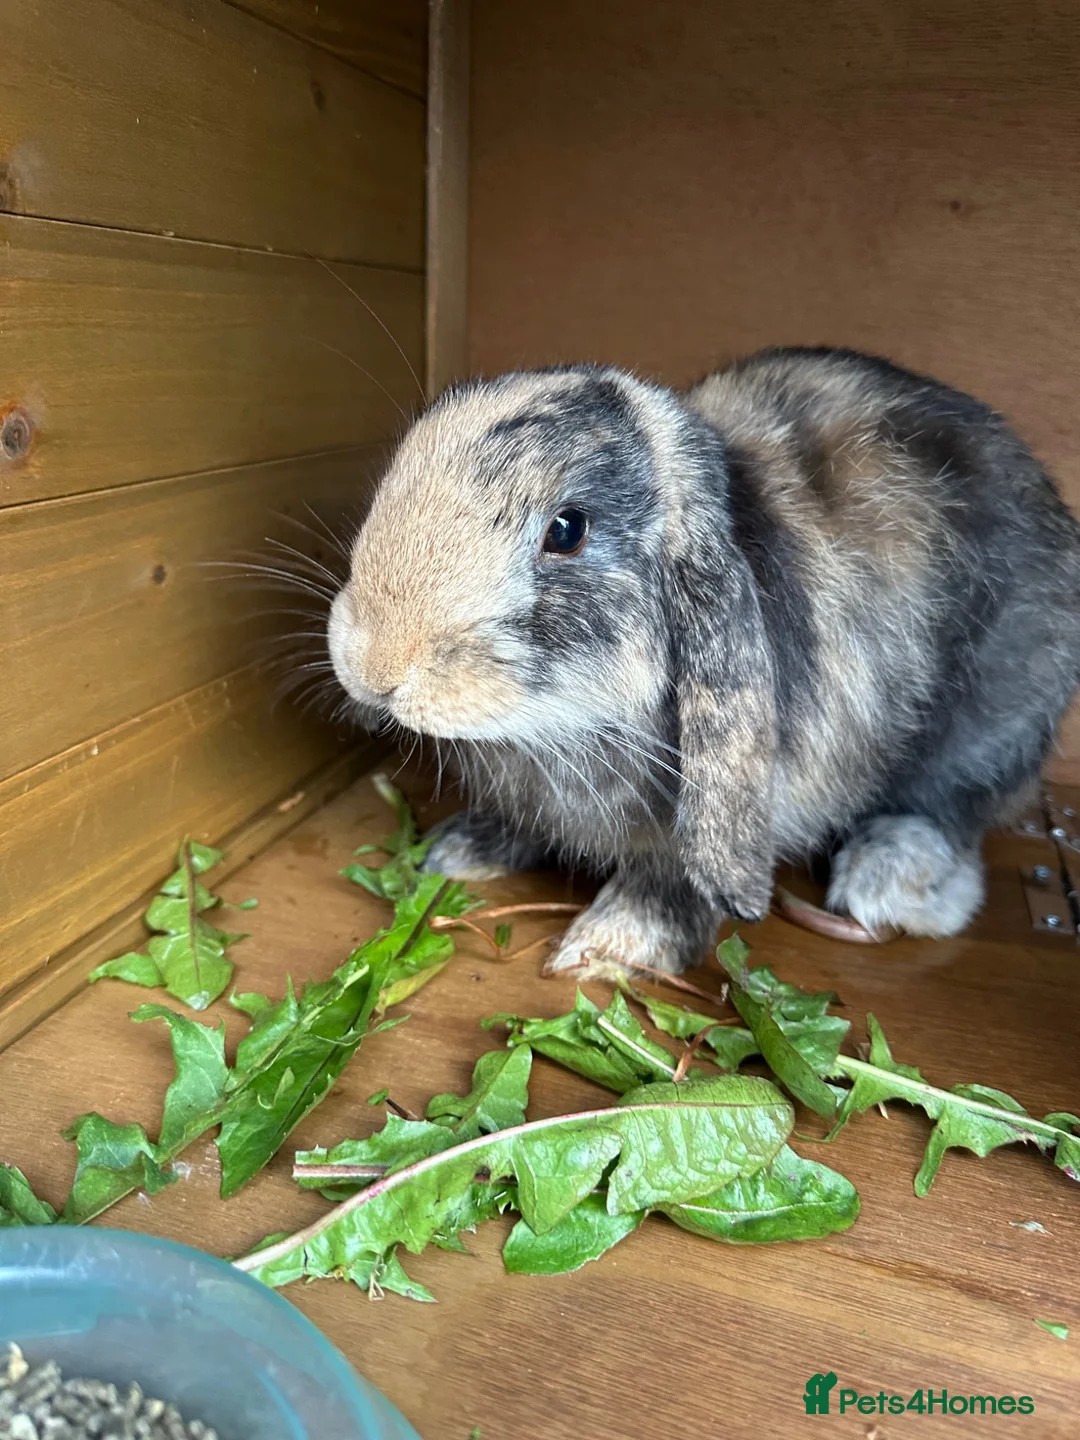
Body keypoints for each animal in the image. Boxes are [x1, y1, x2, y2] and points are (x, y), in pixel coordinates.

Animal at [326, 346, 1080, 972]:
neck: (560, 731)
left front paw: (610, 946)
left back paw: (882, 880)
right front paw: (456, 853)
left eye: (566, 530)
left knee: (954, 812)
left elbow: (675, 878)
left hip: (988, 732)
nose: (376, 669)